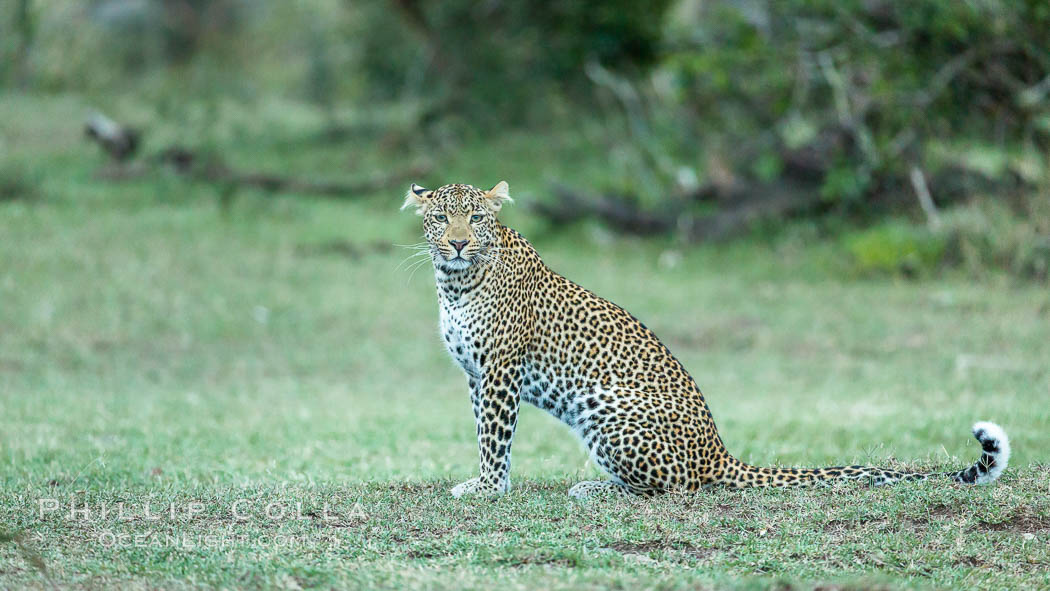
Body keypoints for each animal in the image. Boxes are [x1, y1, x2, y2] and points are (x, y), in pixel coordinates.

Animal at [398, 180, 1007, 499]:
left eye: (477, 219)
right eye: (441, 219)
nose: (458, 243)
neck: (455, 282)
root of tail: (720, 451)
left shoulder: (501, 372)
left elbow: (494, 439)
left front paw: (486, 490)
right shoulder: (477, 376)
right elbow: (484, 433)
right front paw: (484, 484)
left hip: (607, 408)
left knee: (674, 487)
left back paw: (595, 489)